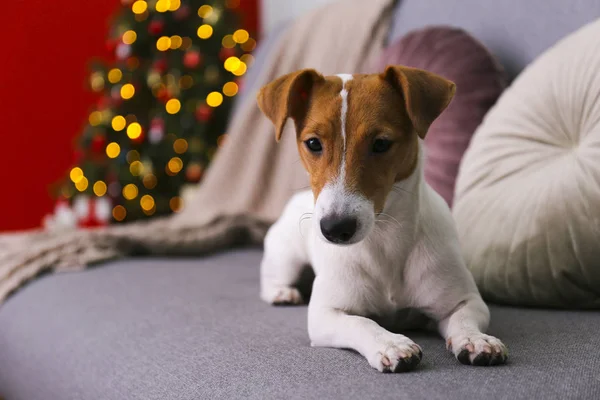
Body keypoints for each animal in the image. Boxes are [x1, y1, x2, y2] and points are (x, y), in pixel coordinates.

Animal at [255, 64, 508, 374]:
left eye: (381, 144)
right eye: (313, 143)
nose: (334, 228)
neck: (385, 239)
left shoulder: (464, 301)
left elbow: (464, 317)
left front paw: (475, 339)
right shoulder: (326, 314)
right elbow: (361, 323)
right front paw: (390, 343)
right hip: (286, 258)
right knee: (272, 278)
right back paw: (282, 293)